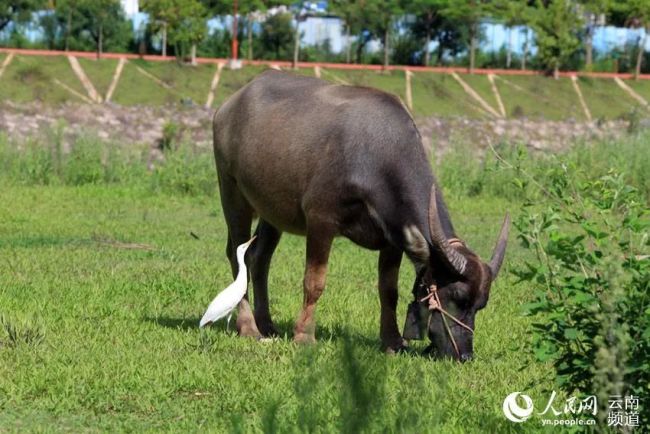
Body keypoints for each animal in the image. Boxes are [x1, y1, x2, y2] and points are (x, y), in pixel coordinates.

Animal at [211, 70, 506, 360]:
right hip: (231, 191)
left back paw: (267, 324)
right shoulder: (320, 219)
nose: (464, 354)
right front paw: (304, 336)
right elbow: (314, 282)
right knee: (238, 256)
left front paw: (393, 341)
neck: (377, 155)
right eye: (456, 295)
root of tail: (227, 107)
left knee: (260, 258)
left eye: (481, 304)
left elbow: (389, 291)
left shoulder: (392, 237)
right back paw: (249, 328)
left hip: (271, 211)